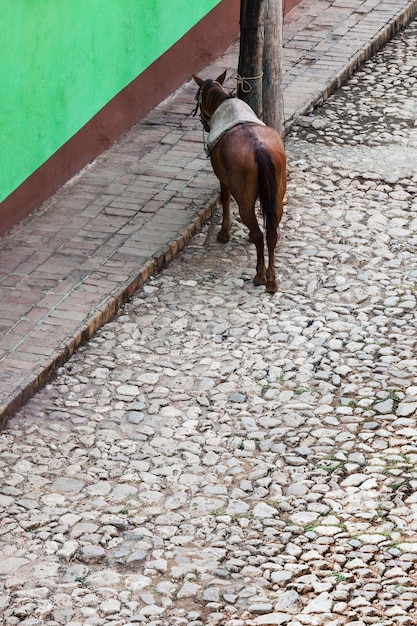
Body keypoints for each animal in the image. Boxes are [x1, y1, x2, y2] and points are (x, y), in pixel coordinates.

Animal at [193, 69, 286, 294]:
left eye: (198, 98)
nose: (203, 122)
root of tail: (259, 148)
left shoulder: (223, 179)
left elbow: (225, 200)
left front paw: (224, 233)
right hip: (278, 197)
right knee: (271, 233)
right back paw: (272, 279)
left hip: (244, 200)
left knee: (260, 234)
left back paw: (260, 276)